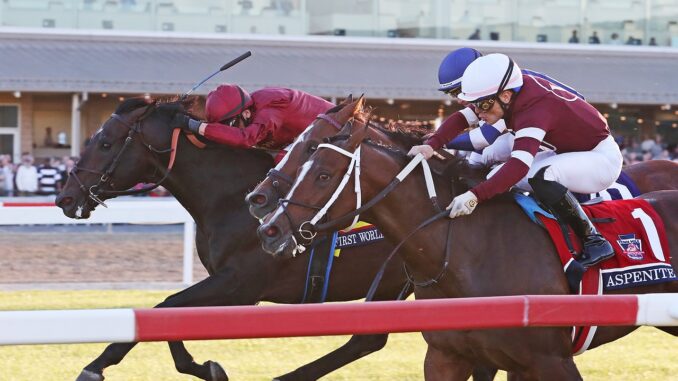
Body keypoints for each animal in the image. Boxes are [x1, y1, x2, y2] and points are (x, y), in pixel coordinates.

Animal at [54, 97, 414, 380]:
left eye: (104, 143)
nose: (65, 198)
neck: (232, 197)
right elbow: (171, 316)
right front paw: (207, 368)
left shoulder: (240, 285)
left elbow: (165, 307)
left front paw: (94, 367)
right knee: (367, 340)